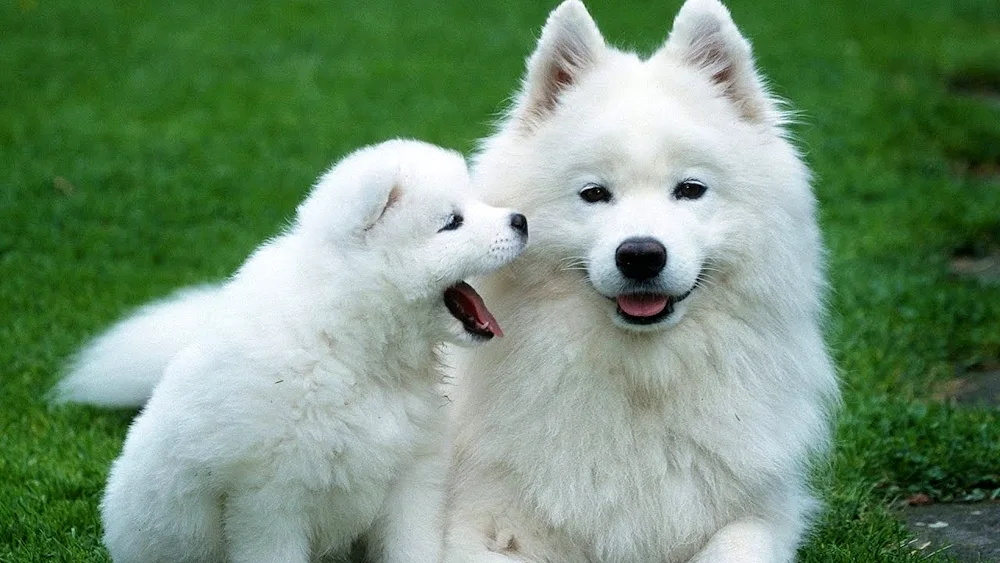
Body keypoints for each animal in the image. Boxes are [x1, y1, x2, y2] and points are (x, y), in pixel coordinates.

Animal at [57, 138, 532, 563]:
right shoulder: (270, 500)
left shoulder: (411, 479)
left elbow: (412, 549)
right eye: (452, 222)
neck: (351, 345)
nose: (522, 220)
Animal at [442, 1, 840, 563]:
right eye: (594, 193)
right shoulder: (482, 523)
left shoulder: (760, 514)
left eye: (690, 189)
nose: (641, 255)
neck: (641, 380)